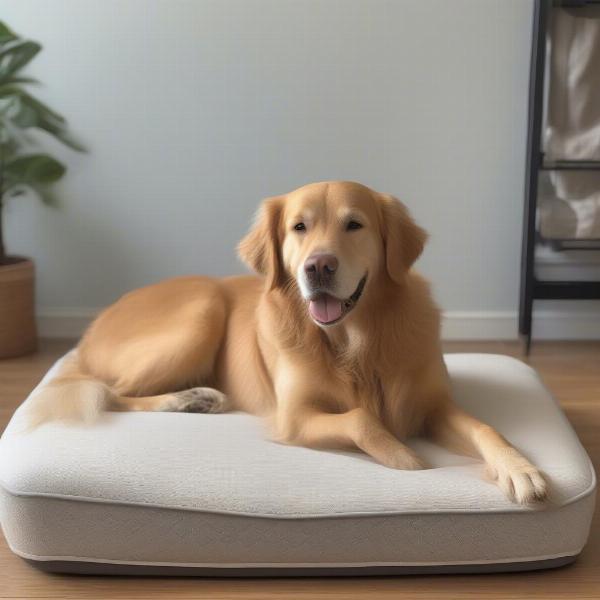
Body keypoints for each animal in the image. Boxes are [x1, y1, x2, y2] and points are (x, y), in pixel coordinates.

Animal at [25, 180, 548, 504]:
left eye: (355, 224)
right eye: (299, 227)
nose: (318, 266)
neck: (355, 343)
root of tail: (91, 329)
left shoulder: (433, 405)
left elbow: (486, 429)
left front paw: (520, 469)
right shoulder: (294, 418)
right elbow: (361, 418)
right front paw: (405, 457)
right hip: (202, 309)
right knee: (111, 392)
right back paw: (188, 399)